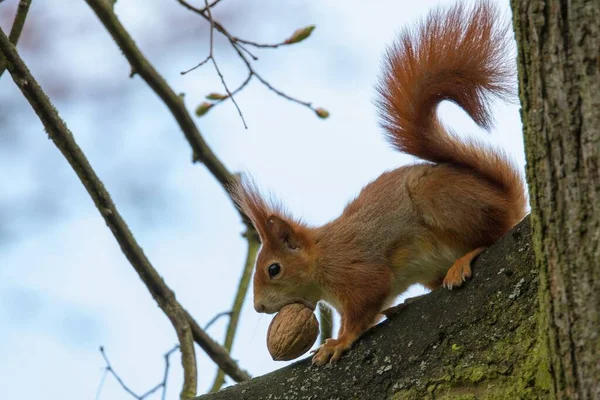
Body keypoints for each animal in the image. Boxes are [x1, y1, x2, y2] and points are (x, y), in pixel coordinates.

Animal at [232, 0, 528, 366]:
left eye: (274, 269)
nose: (259, 307)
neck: (323, 255)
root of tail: (508, 202)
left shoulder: (357, 272)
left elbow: (364, 305)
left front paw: (338, 341)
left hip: (442, 201)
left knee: (491, 235)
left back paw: (462, 262)